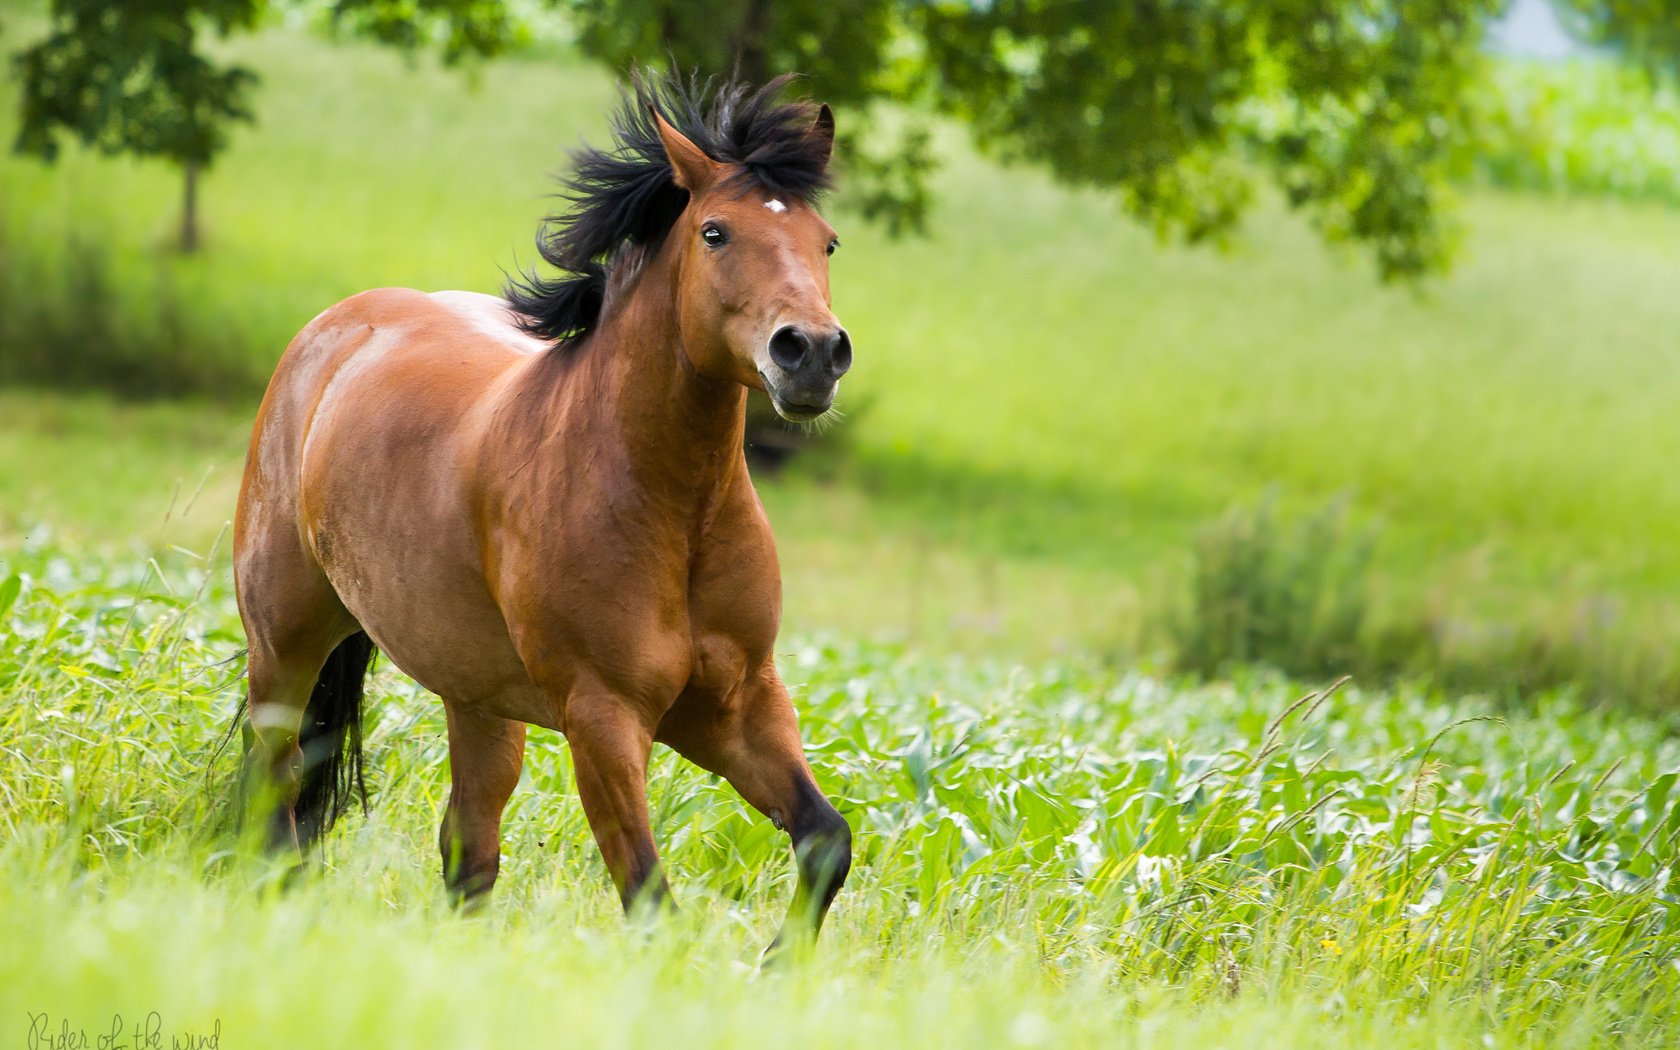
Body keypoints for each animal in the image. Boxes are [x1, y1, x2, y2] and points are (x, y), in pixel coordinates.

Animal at [233, 69, 853, 947]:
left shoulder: (737, 705)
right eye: (715, 233)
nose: (812, 354)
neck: (675, 513)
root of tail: (334, 331)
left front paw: (778, 964)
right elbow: (650, 898)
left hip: (479, 701)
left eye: (826, 241)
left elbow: (826, 840)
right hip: (284, 646)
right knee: (275, 790)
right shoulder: (604, 717)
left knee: (467, 850)